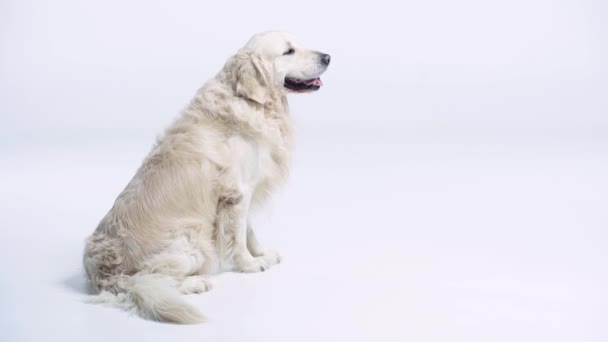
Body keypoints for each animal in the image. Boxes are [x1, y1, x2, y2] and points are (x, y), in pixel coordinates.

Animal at [83, 31, 330, 324]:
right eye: (288, 51)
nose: (328, 57)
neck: (252, 103)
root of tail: (103, 276)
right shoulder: (237, 193)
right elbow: (238, 236)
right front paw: (250, 263)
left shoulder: (243, 191)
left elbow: (248, 231)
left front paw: (262, 253)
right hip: (192, 241)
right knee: (148, 279)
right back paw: (195, 283)